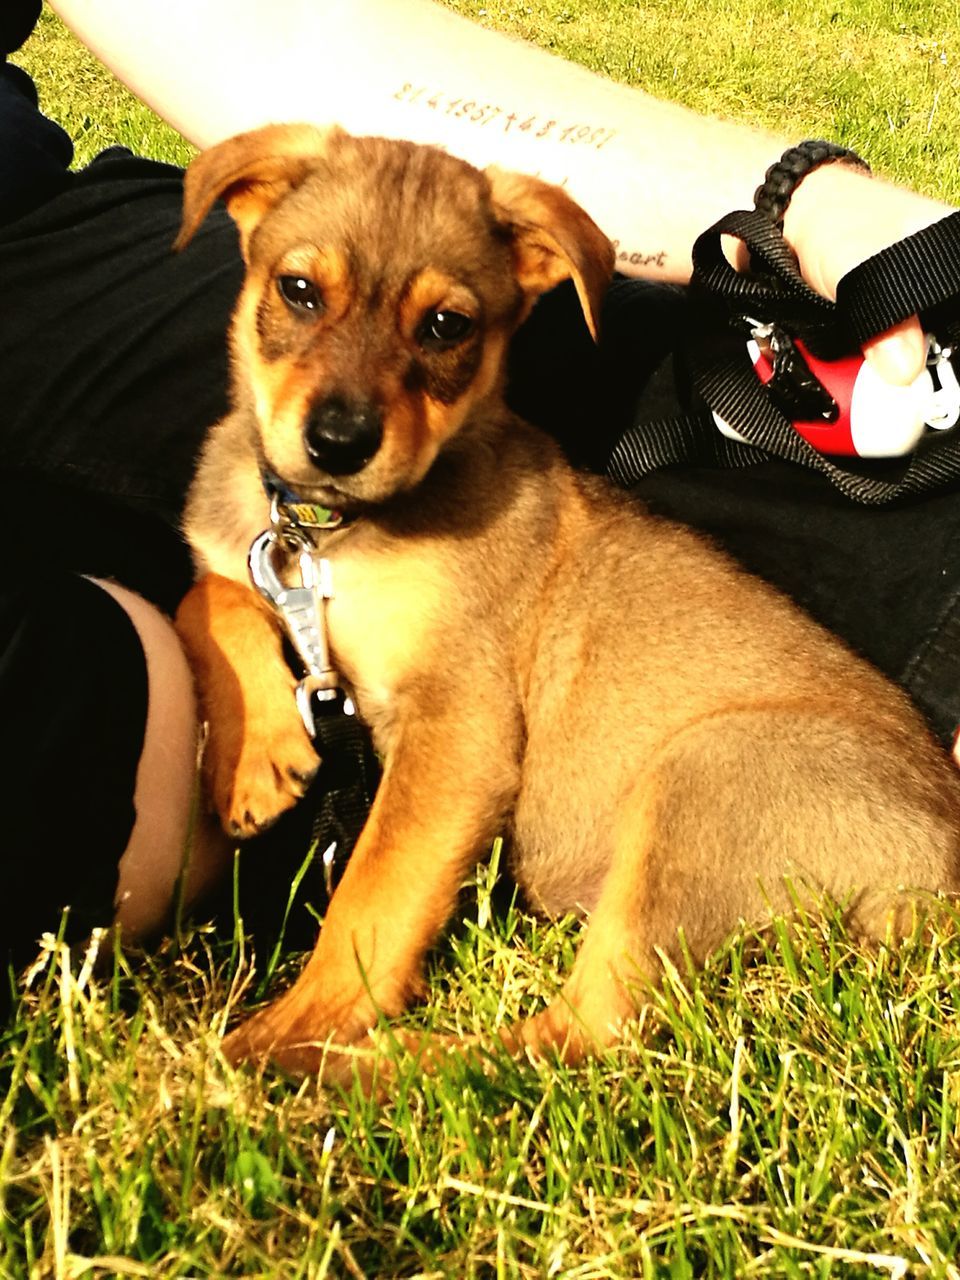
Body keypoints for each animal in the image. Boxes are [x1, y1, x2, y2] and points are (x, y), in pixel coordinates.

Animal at [176, 127, 960, 1080]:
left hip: (702, 781)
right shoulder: (258, 572)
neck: (332, 535)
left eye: (447, 325)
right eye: (298, 290)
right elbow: (206, 596)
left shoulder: (459, 728)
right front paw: (254, 756)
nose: (338, 443)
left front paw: (287, 1034)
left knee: (584, 1031)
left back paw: (371, 1065)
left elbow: (373, 895)